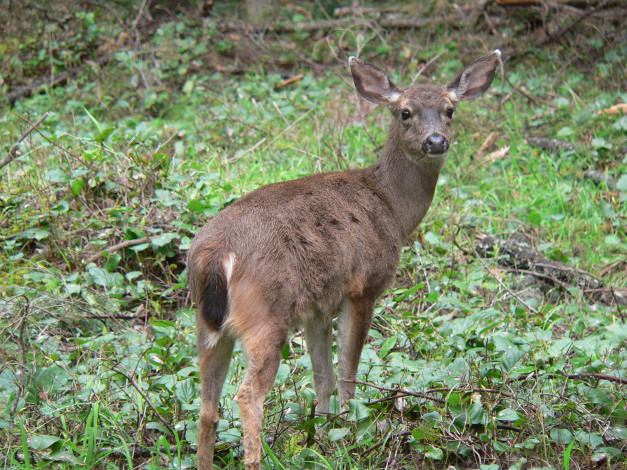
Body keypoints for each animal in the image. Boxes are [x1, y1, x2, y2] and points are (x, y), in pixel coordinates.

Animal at [186, 49, 500, 468]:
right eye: (405, 112)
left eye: (450, 109)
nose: (436, 141)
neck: (392, 208)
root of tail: (217, 253)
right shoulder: (363, 286)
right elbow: (348, 370)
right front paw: (350, 430)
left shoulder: (316, 307)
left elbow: (323, 378)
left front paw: (323, 434)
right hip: (266, 314)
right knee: (247, 394)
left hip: (207, 323)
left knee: (206, 407)